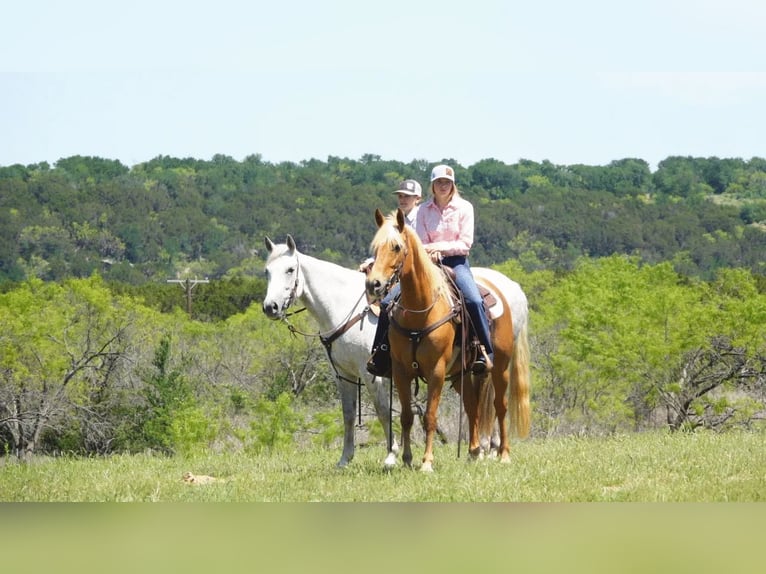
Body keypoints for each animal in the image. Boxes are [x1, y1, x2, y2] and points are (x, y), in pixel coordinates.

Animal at [262, 236, 400, 470]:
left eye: (290, 269)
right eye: (267, 272)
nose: (270, 307)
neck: (346, 308)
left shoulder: (371, 373)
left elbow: (383, 410)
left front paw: (391, 455)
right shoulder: (343, 374)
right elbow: (348, 414)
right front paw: (345, 458)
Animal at [364, 210, 532, 472]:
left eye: (396, 246)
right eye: (375, 247)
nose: (374, 284)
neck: (420, 309)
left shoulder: (437, 371)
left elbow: (430, 416)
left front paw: (427, 462)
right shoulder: (401, 371)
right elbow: (406, 416)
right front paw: (407, 459)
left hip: (500, 368)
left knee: (500, 406)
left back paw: (503, 453)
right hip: (462, 373)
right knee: (472, 407)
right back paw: (474, 452)